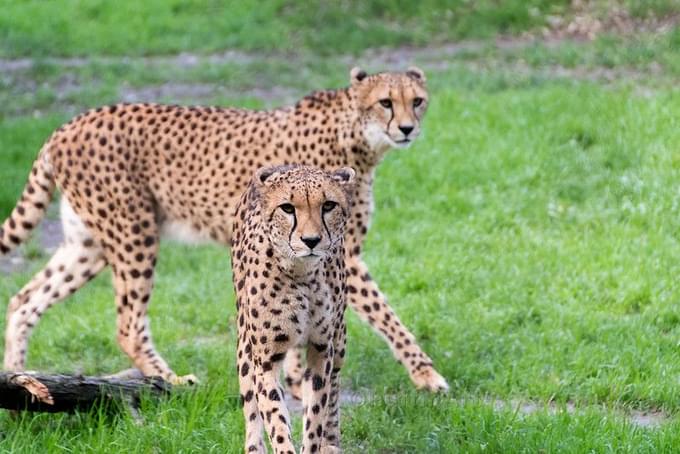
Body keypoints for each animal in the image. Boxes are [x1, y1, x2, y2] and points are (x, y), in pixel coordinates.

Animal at [1, 65, 452, 392]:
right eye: (385, 102)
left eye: (417, 101)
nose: (408, 128)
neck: (357, 136)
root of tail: (67, 124)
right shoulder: (336, 253)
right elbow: (387, 316)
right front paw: (427, 375)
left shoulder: (314, 255)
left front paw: (294, 377)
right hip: (133, 233)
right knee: (127, 325)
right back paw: (172, 380)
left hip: (88, 244)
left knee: (23, 299)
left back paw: (20, 378)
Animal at [231, 165, 354, 454]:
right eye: (287, 208)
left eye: (328, 205)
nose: (311, 240)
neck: (301, 273)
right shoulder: (265, 358)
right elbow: (274, 416)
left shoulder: (322, 348)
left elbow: (316, 413)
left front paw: (318, 443)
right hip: (245, 347)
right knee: (250, 404)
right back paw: (254, 446)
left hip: (339, 340)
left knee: (334, 385)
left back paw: (331, 442)